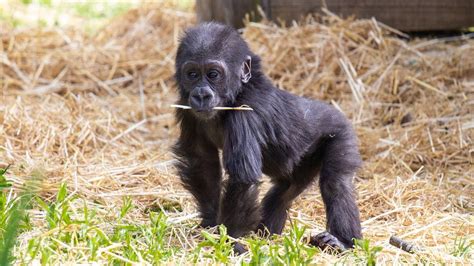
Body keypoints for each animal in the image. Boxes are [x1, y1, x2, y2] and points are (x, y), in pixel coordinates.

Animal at [174, 21, 362, 250]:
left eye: (213, 74)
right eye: (192, 74)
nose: (201, 95)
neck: (237, 93)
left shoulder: (246, 112)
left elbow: (242, 179)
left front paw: (231, 242)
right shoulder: (186, 107)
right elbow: (201, 163)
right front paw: (210, 224)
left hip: (341, 133)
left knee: (336, 182)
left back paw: (342, 241)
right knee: (284, 192)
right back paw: (266, 235)